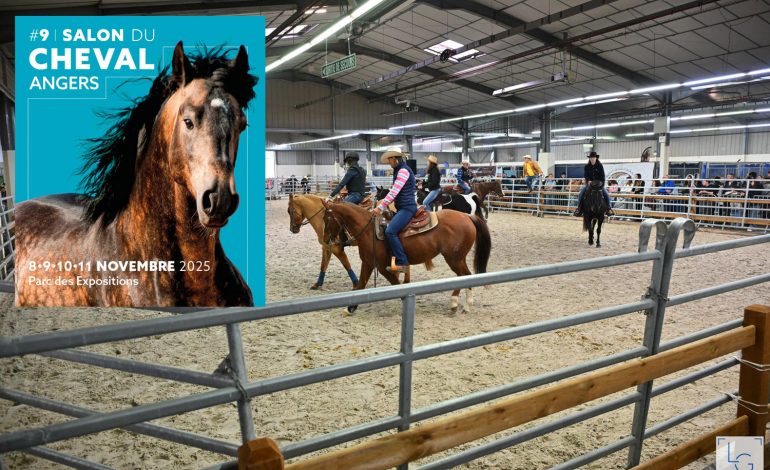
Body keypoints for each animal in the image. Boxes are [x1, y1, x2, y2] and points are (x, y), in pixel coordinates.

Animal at [321, 202, 491, 314]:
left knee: (465, 275)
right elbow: (361, 285)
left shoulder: (382, 267)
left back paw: (461, 304)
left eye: (327, 219)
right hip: (458, 259)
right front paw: (350, 308)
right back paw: (460, 304)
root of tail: (467, 216)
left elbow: (395, 284)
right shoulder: (368, 264)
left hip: (454, 258)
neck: (369, 231)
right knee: (464, 276)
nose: (325, 240)